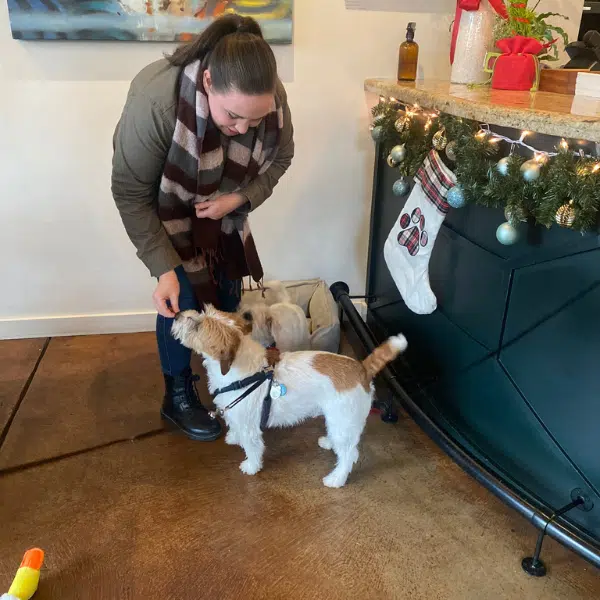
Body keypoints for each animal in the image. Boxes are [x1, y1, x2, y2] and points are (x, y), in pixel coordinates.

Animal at [172, 304, 408, 488]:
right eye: (201, 312)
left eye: (197, 325)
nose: (176, 314)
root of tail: (362, 368)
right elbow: (236, 429)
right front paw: (233, 437)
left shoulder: (249, 425)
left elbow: (252, 446)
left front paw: (251, 466)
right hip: (337, 421)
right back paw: (329, 443)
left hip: (343, 421)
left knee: (350, 455)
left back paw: (336, 479)